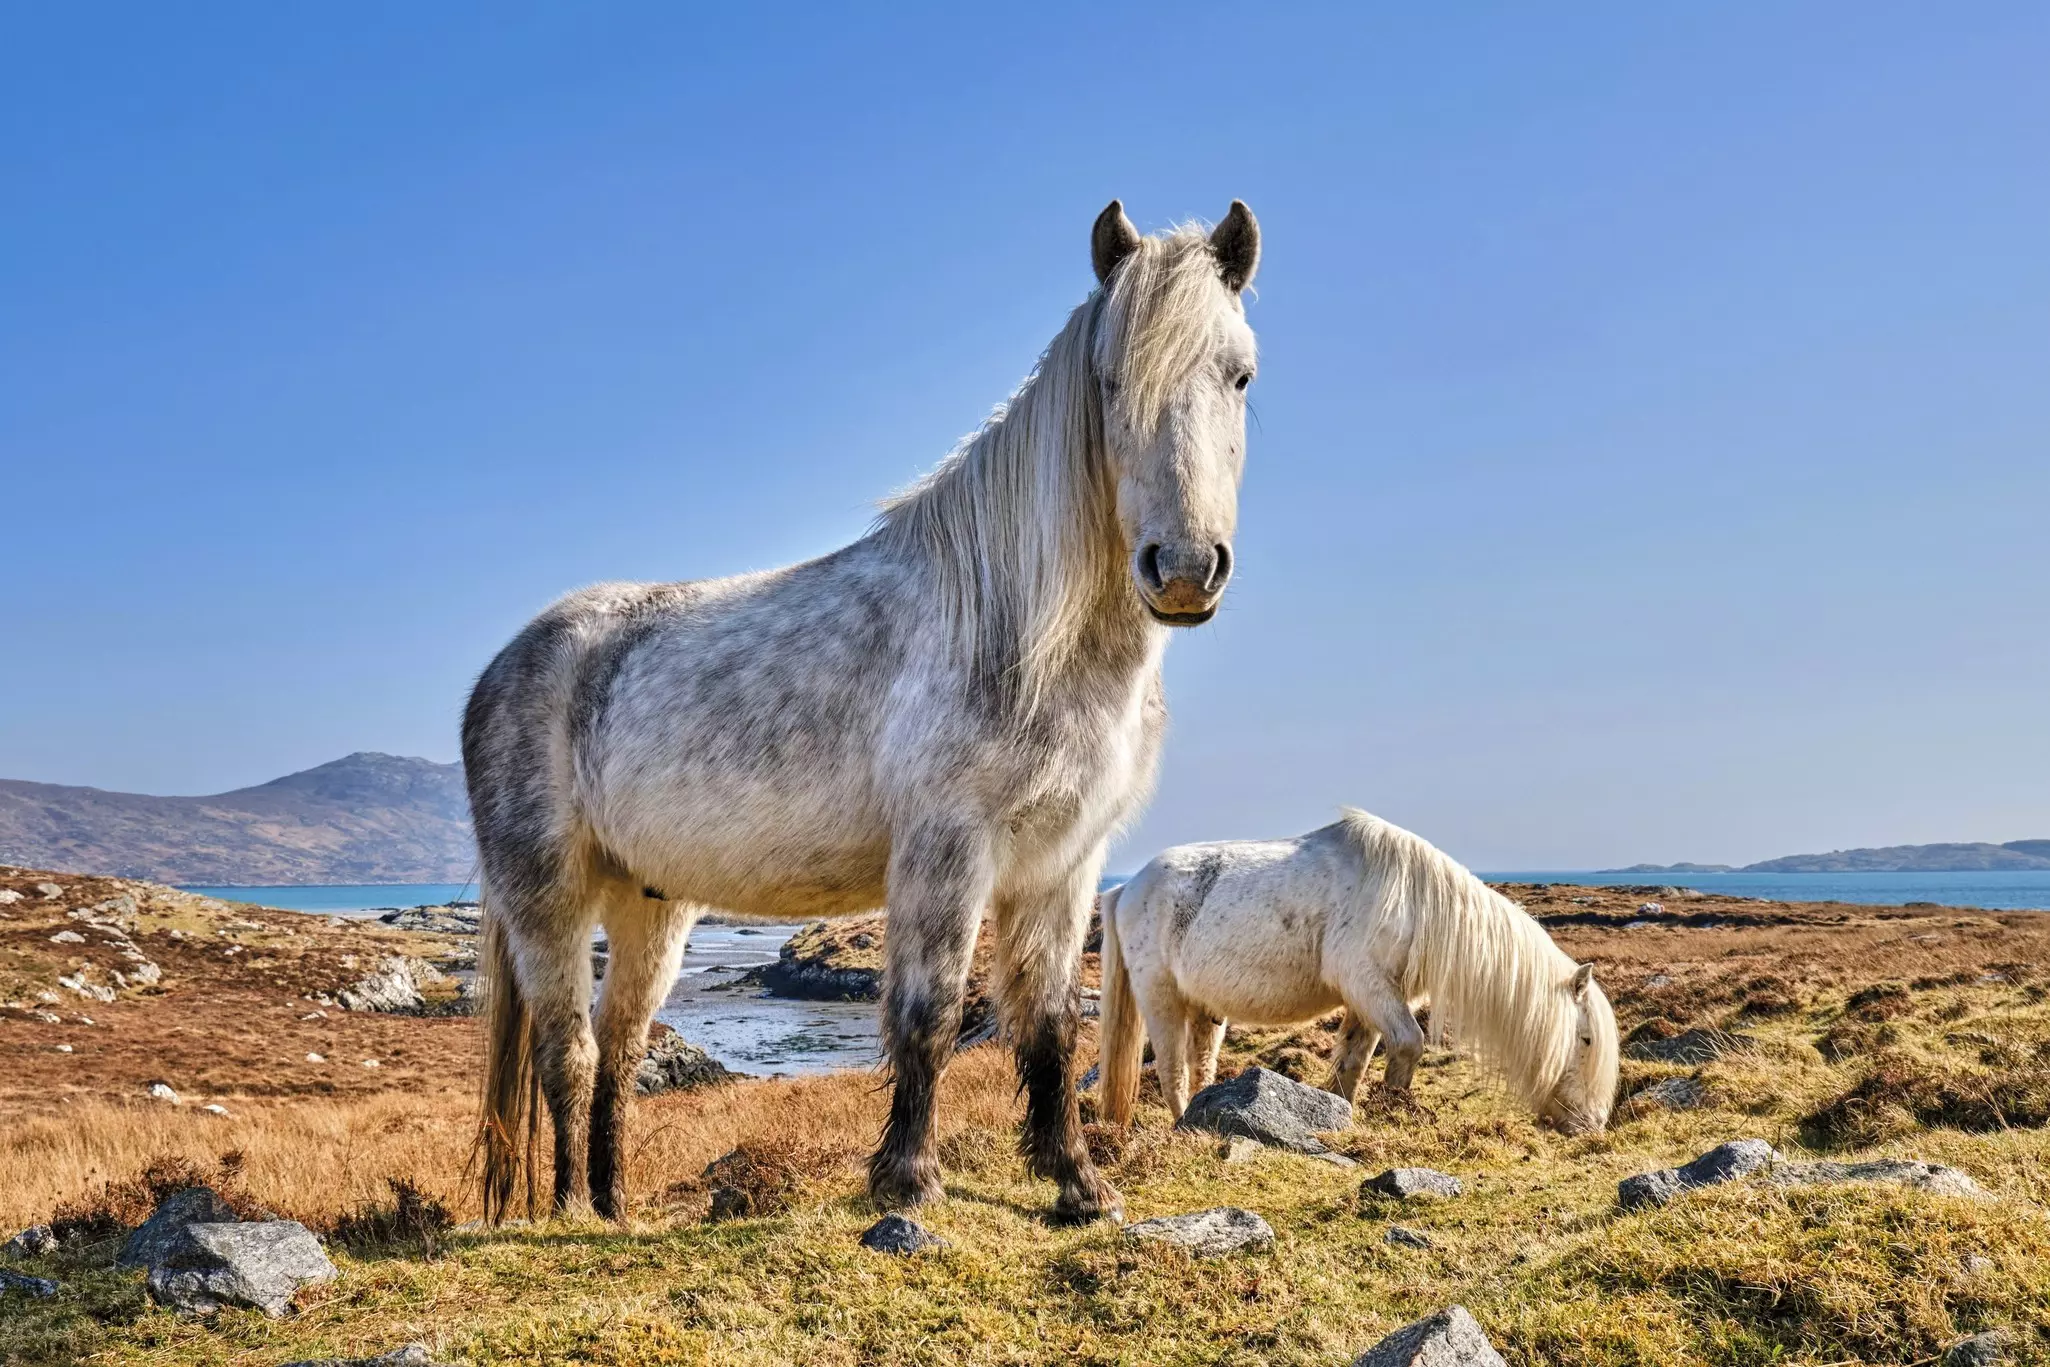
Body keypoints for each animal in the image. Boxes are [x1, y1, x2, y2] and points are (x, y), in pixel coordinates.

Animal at [463, 199, 1262, 1225]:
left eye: (1239, 373)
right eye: (1111, 378)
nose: (1185, 569)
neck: (1014, 626)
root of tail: (505, 665)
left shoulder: (1064, 865)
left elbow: (1049, 1022)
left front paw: (1075, 1183)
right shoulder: (944, 851)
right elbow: (929, 1012)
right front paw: (909, 1178)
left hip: (651, 907)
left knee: (622, 1045)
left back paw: (613, 1208)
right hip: (550, 902)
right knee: (568, 1048)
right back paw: (568, 1210)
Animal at [1097, 808, 1619, 1133]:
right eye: (1586, 1039)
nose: (1591, 1127)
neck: (1416, 901)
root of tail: (1127, 888)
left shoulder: (1371, 998)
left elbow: (1352, 1063)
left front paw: (1339, 1115)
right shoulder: (1369, 986)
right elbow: (1408, 1043)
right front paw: (1394, 1112)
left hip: (1205, 1009)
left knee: (1200, 1065)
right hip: (1161, 999)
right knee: (1172, 1070)